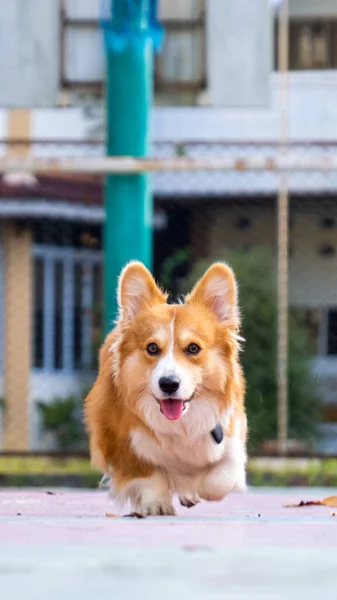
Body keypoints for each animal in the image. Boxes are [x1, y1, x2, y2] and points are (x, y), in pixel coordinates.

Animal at [84, 260, 247, 516]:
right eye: (152, 348)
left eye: (193, 348)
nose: (168, 383)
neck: (181, 425)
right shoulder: (121, 443)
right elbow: (149, 475)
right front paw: (157, 504)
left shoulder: (232, 434)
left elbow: (221, 478)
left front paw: (197, 486)